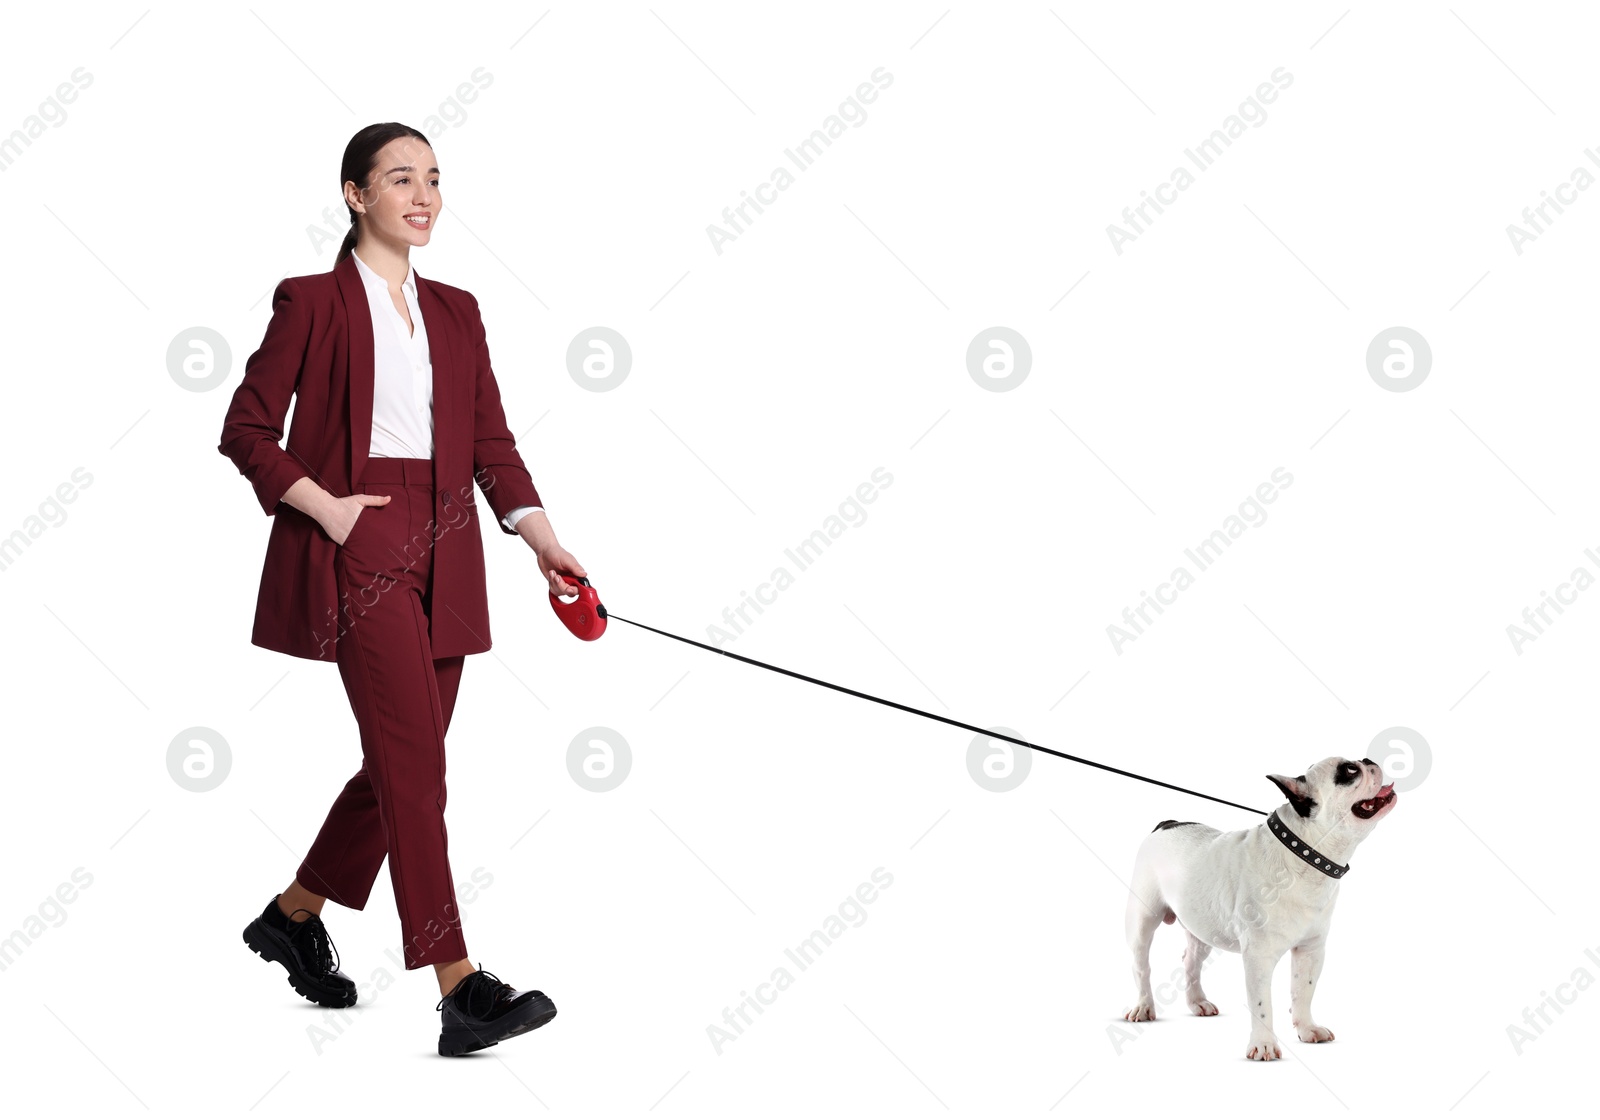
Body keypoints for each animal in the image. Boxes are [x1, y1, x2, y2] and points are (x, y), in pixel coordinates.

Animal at [216, 124, 585, 1056]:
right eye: (400, 177)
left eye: (431, 179)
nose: (423, 202)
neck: (389, 270)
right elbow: (247, 425)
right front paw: (468, 1000)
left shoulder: (474, 377)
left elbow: (493, 442)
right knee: (406, 767)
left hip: (438, 640)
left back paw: (293, 935)